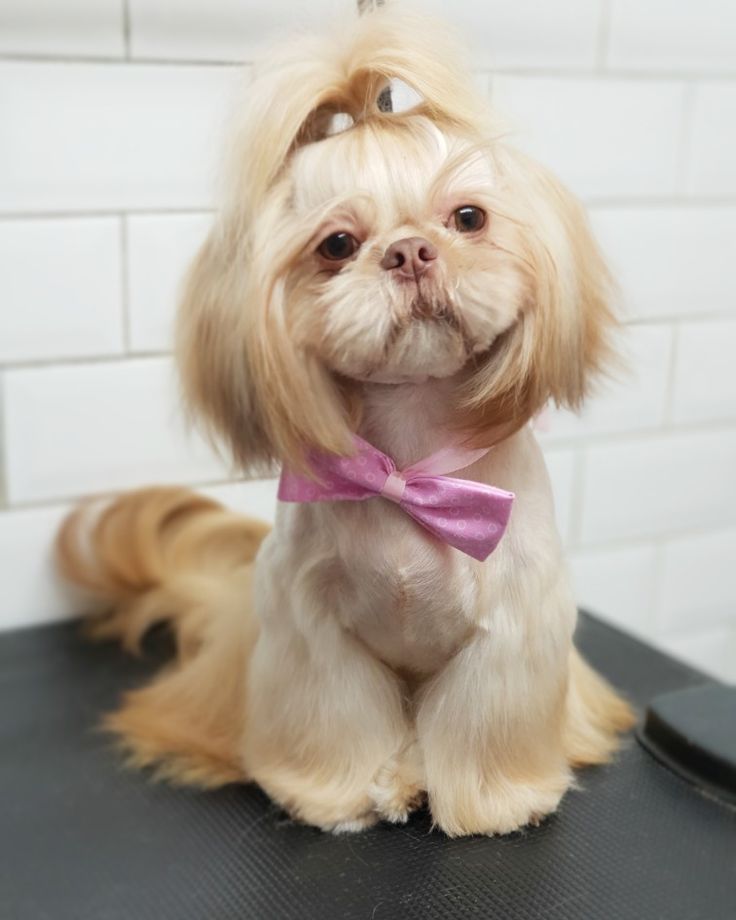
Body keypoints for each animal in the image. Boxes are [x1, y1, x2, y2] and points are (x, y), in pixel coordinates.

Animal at [57, 7, 632, 836]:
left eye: (468, 217)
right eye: (337, 244)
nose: (411, 251)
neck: (409, 465)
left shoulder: (515, 625)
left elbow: (486, 718)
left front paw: (495, 802)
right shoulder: (309, 629)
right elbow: (336, 713)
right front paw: (335, 795)